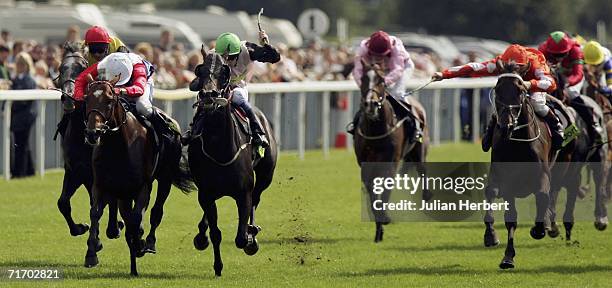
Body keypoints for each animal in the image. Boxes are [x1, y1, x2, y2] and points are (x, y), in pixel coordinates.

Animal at [54, 41, 122, 238]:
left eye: (82, 67)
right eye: (61, 68)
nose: (68, 98)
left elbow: (104, 202)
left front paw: (112, 227)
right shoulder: (75, 171)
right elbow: (63, 202)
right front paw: (78, 228)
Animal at [81, 75, 191, 276]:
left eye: (109, 101)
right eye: (87, 99)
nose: (93, 133)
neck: (119, 145)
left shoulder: (143, 187)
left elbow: (137, 217)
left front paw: (139, 244)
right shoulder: (100, 184)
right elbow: (95, 212)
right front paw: (91, 253)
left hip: (165, 178)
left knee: (156, 212)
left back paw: (149, 242)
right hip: (124, 191)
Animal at [186, 50, 278, 276]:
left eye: (224, 71)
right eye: (199, 70)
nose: (209, 95)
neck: (220, 149)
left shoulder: (243, 193)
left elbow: (240, 238)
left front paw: (250, 239)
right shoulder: (206, 193)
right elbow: (216, 232)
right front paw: (217, 265)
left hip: (265, 177)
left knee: (257, 198)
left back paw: (253, 231)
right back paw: (201, 235)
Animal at [354, 61, 430, 243]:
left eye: (381, 80)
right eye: (363, 79)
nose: (370, 104)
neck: (376, 129)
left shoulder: (391, 162)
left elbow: (386, 187)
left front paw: (384, 218)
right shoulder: (366, 165)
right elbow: (372, 190)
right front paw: (379, 227)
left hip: (419, 149)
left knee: (422, 169)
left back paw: (427, 195)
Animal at [486, 60, 556, 270]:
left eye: (520, 91)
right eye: (497, 89)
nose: (506, 124)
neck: (517, 144)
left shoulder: (543, 174)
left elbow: (542, 195)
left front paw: (539, 229)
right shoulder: (507, 182)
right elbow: (511, 218)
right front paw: (507, 256)